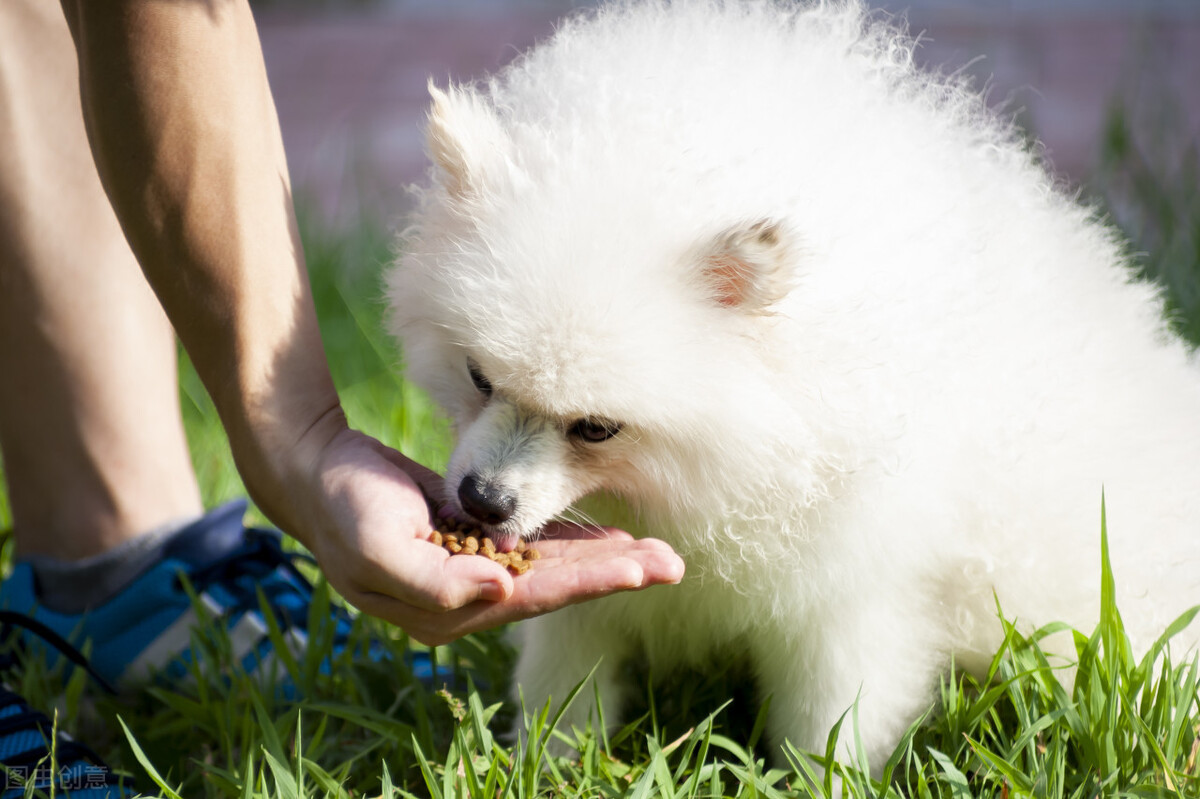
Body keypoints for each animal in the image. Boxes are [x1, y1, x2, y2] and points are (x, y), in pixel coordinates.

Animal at [386, 0, 1200, 758]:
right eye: (479, 376)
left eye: (596, 427)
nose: (483, 500)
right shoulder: (588, 599)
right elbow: (562, 683)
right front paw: (548, 762)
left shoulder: (853, 599)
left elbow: (831, 724)